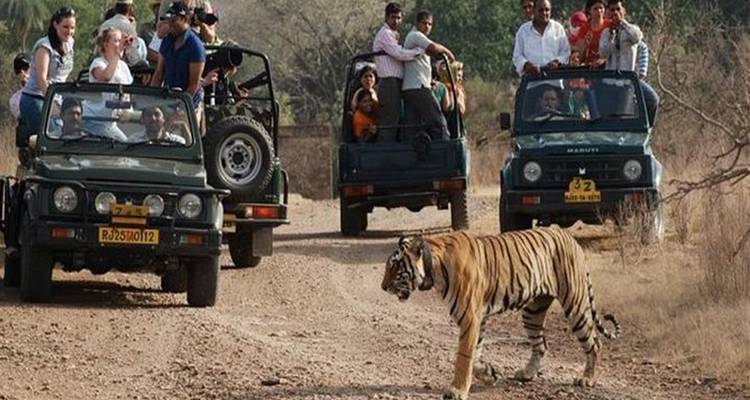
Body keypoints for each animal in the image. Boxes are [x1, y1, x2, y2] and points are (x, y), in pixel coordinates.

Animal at [380, 227, 621, 400]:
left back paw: (587, 379)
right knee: (541, 344)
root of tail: (570, 237)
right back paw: (527, 373)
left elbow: (463, 356)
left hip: (575, 304)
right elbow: (475, 355)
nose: (383, 287)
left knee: (594, 343)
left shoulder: (470, 317)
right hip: (533, 311)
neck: (434, 267)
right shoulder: (479, 318)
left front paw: (457, 390)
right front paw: (489, 374)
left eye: (395, 266)